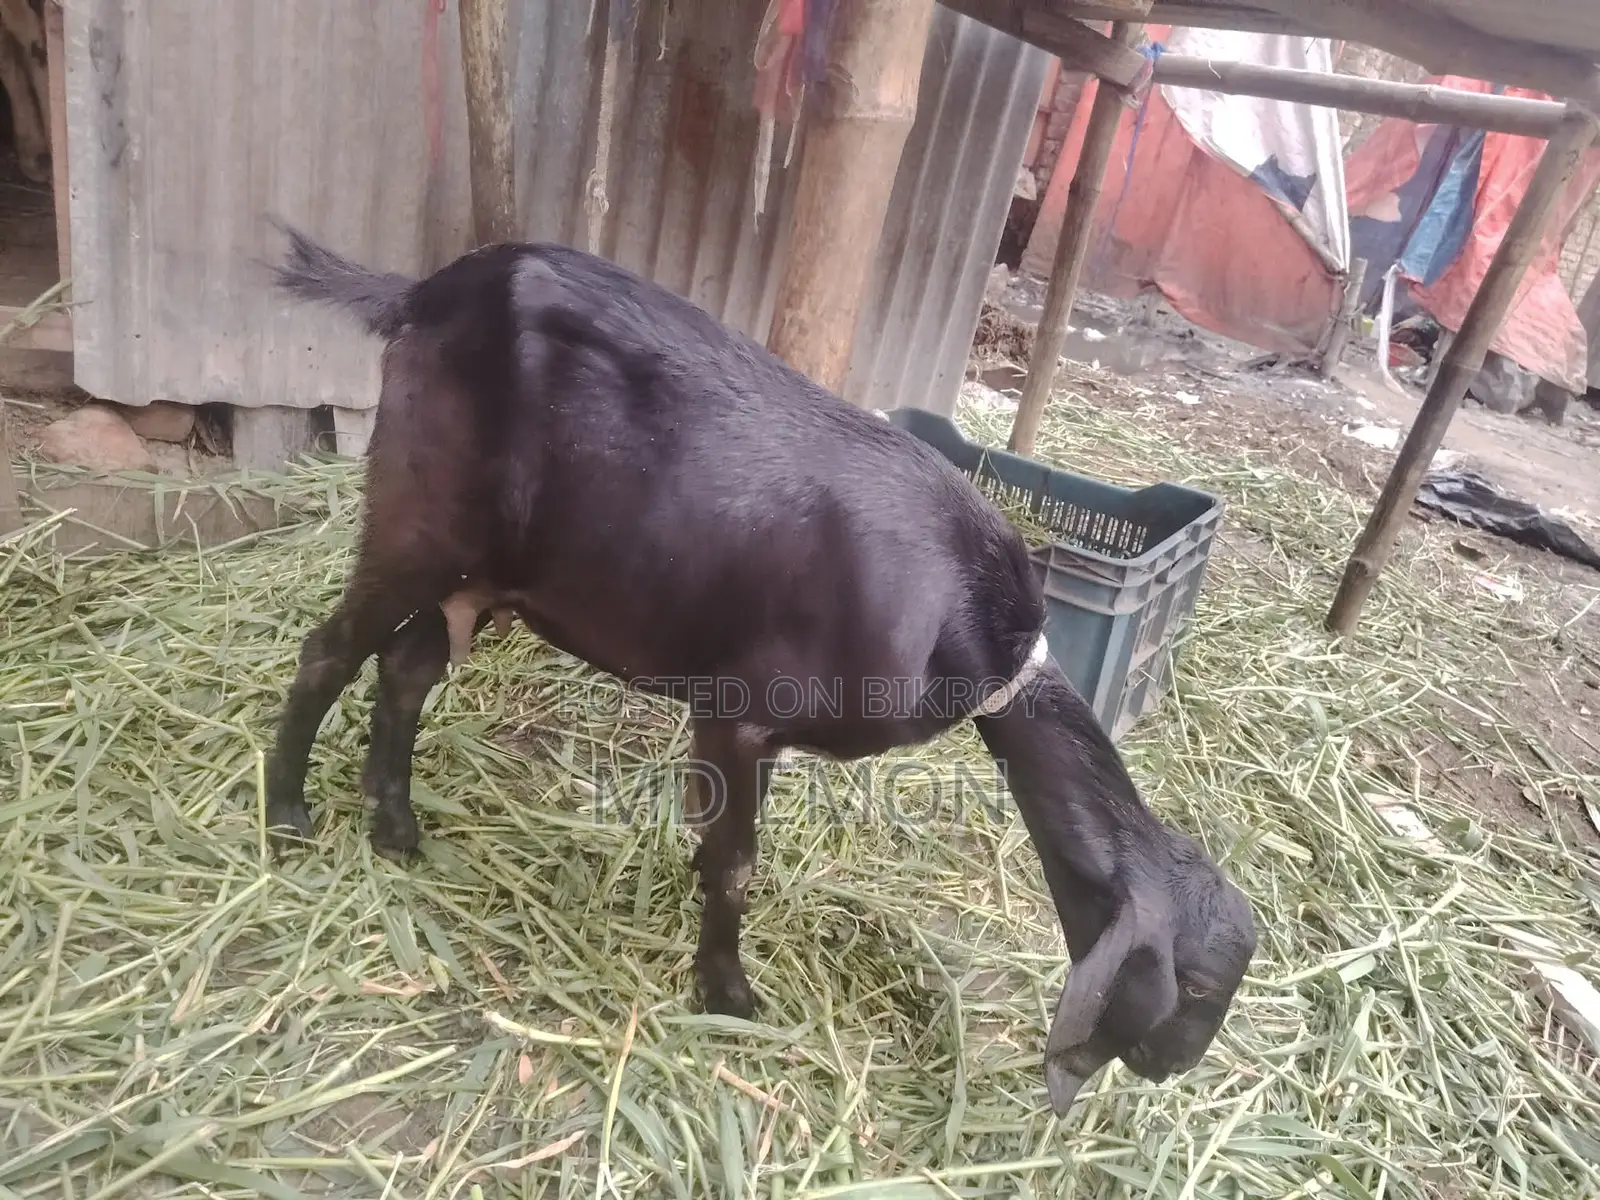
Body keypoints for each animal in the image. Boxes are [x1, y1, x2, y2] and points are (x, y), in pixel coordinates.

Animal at [261, 223, 1258, 1116]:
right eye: (1200, 985)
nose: (1170, 1068)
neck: (957, 608)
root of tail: (422, 293)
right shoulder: (737, 711)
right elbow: (739, 861)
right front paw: (728, 994)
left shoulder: (755, 730)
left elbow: (720, 843)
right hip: (418, 520)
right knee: (331, 651)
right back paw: (287, 817)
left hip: (485, 573)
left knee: (405, 667)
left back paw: (396, 828)